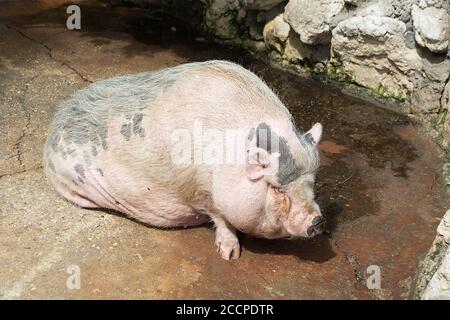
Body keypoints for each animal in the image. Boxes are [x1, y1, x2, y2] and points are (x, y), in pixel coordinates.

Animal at [42, 60, 324, 260]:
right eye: (278, 190)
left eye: (311, 182)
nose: (318, 221)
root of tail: (55, 123)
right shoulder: (202, 192)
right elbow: (222, 220)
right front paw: (230, 256)